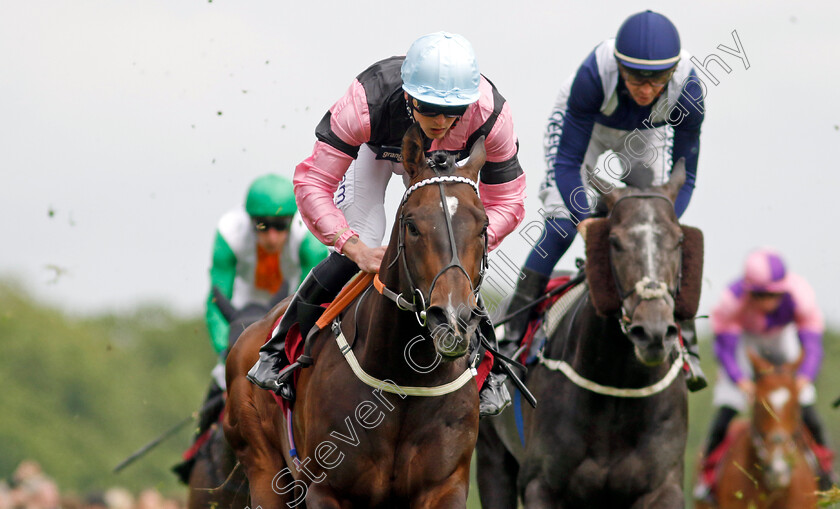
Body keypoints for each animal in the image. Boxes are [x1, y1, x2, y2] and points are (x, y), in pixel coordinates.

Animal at [226, 124, 488, 508]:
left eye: (483, 227)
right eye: (412, 225)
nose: (452, 319)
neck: (404, 379)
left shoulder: (445, 486)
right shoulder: (327, 490)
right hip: (264, 471)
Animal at [480, 164, 704, 508]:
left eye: (679, 240)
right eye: (614, 241)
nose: (653, 331)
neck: (618, 389)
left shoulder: (663, 488)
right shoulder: (541, 486)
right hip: (492, 460)